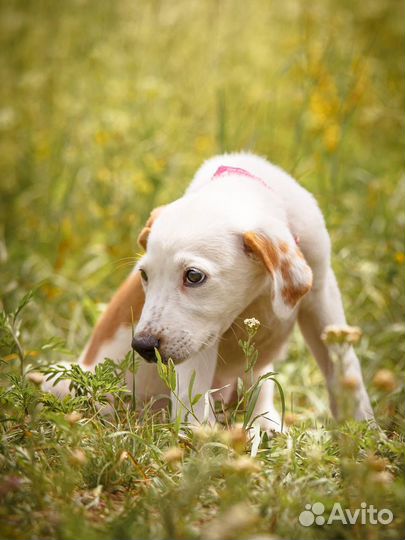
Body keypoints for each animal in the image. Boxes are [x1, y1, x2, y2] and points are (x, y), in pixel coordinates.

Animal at [45, 153, 372, 430]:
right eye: (144, 275)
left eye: (193, 276)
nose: (142, 346)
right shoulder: (198, 342)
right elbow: (195, 413)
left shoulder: (321, 294)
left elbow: (345, 370)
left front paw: (363, 433)